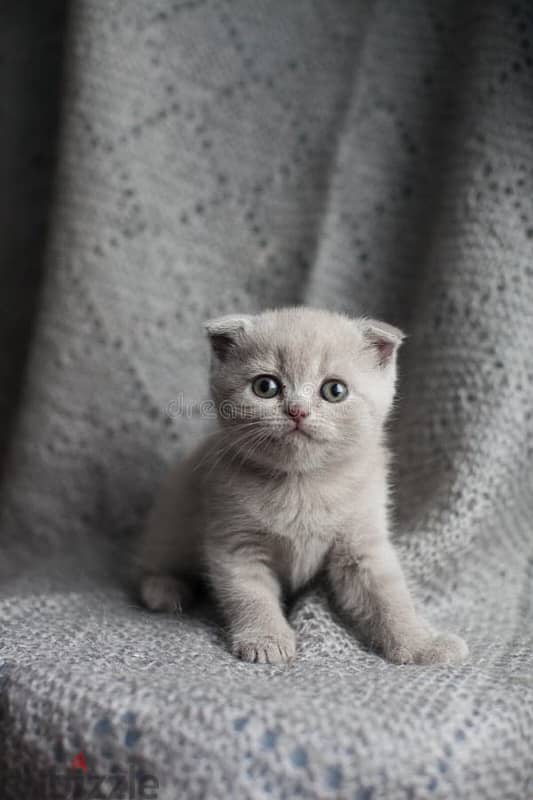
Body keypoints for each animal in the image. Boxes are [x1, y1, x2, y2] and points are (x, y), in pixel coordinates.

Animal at [139, 310, 468, 664]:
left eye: (334, 390)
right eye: (265, 386)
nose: (297, 410)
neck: (302, 483)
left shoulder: (362, 542)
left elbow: (389, 598)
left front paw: (421, 643)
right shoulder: (236, 542)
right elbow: (250, 595)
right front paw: (265, 639)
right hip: (171, 517)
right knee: (151, 561)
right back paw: (164, 590)